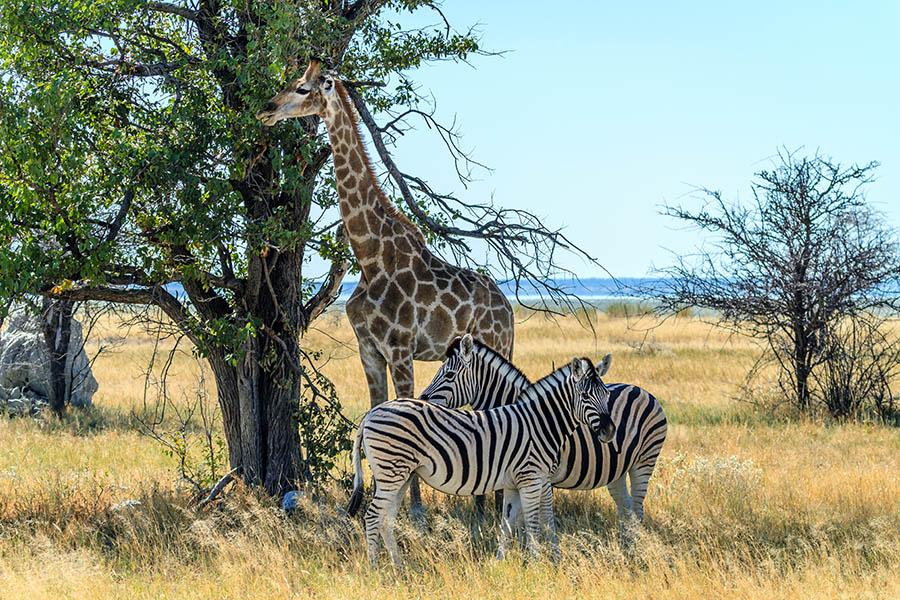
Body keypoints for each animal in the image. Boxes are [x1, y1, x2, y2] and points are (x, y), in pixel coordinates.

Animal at [257, 60, 514, 516]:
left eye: (303, 88)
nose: (266, 109)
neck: (369, 254)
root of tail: (510, 309)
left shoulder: (400, 349)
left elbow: (406, 420)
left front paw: (416, 512)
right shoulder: (369, 350)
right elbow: (376, 415)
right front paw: (371, 504)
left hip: (495, 350)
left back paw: (495, 507)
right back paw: (482, 507)